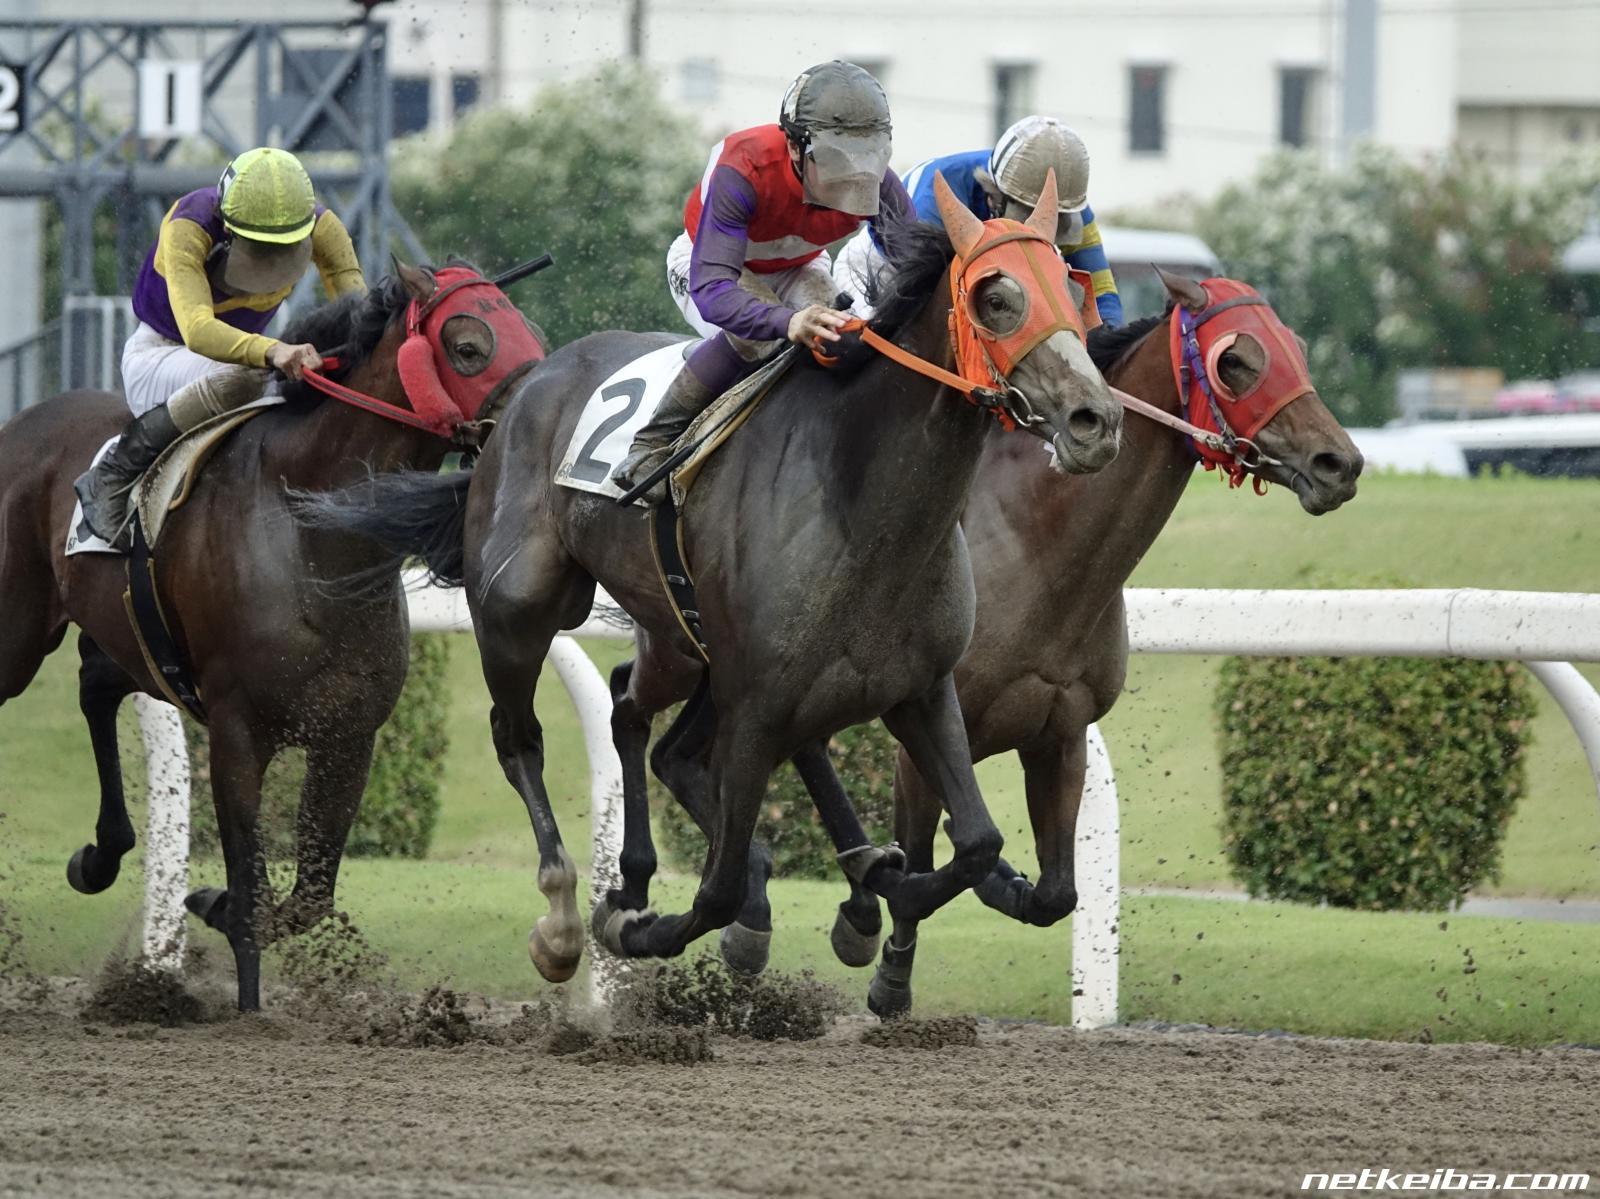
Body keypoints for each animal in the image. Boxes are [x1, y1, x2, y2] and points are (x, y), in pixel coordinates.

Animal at [0, 260, 544, 1010]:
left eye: (533, 335)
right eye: (467, 346)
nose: (535, 421)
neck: (310, 532)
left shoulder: (349, 735)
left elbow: (306, 896)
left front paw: (210, 900)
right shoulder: (236, 733)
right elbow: (254, 889)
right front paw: (245, 992)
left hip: (128, 638)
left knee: (96, 683)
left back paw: (100, 855)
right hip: (18, 632)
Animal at [297, 172, 1125, 983]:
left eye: (1071, 283)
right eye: (995, 296)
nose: (1096, 420)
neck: (860, 497)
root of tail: (528, 385)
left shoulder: (919, 685)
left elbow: (980, 842)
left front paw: (900, 885)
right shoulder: (758, 704)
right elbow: (719, 887)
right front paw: (647, 925)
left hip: (681, 637)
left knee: (634, 714)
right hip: (523, 606)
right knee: (522, 737)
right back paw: (567, 917)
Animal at [619, 269, 1363, 1014]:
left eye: (1297, 346)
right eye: (1236, 361)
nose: (1341, 462)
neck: (1035, 546)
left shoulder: (1060, 730)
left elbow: (1054, 893)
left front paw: (995, 884)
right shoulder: (921, 725)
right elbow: (931, 857)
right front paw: (891, 975)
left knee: (682, 749)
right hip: (698, 651)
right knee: (661, 713)